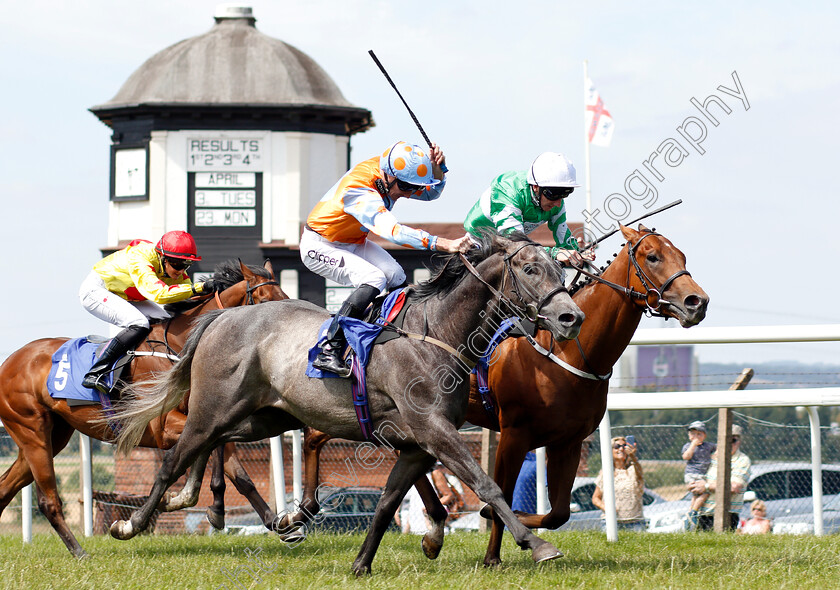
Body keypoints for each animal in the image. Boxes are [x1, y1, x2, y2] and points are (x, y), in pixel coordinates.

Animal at [0, 260, 286, 560]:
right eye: (264, 301)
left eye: (286, 297)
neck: (181, 348)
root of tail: (10, 361)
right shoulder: (163, 427)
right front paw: (199, 502)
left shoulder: (203, 418)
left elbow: (237, 470)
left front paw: (270, 520)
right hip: (33, 432)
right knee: (47, 500)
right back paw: (79, 552)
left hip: (51, 437)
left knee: (5, 487)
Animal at [108, 234, 588, 576]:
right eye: (530, 268)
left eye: (558, 267)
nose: (571, 317)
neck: (435, 332)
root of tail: (220, 317)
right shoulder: (433, 430)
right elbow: (487, 486)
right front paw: (537, 545)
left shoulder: (416, 444)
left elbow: (388, 501)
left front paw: (364, 563)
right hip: (215, 407)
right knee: (174, 458)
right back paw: (132, 524)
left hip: (263, 417)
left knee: (214, 442)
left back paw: (197, 499)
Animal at [282, 224, 708, 568]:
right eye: (652, 256)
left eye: (684, 256)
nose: (697, 302)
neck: (566, 353)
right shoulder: (514, 434)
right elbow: (500, 489)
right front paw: (494, 551)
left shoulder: (569, 441)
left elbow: (558, 513)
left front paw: (501, 529)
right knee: (316, 436)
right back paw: (299, 514)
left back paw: (431, 531)